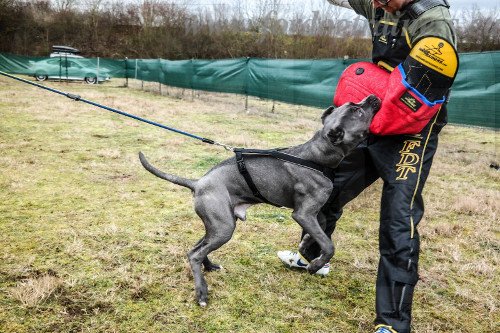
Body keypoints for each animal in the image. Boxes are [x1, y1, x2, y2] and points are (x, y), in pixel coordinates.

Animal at [139, 94, 380, 306]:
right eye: (357, 111)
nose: (373, 97)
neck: (318, 155)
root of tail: (197, 183)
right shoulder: (302, 214)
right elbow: (329, 245)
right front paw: (315, 265)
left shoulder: (313, 214)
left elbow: (318, 233)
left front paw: (304, 248)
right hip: (224, 228)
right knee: (196, 254)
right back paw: (202, 293)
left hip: (218, 225)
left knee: (196, 249)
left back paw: (210, 267)